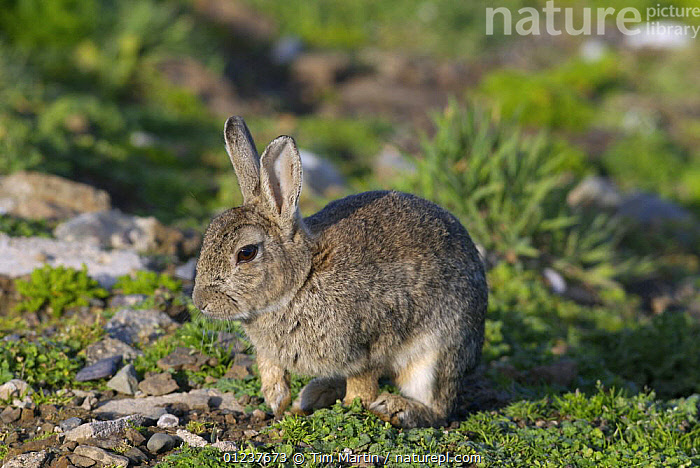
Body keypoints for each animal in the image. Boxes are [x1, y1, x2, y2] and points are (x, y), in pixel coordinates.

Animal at [192, 116, 488, 428]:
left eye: (246, 252)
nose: (201, 302)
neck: (303, 279)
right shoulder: (270, 353)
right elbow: (270, 369)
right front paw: (279, 403)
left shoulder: (370, 342)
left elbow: (362, 383)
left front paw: (352, 407)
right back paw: (312, 395)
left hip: (437, 354)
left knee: (439, 408)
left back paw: (394, 408)